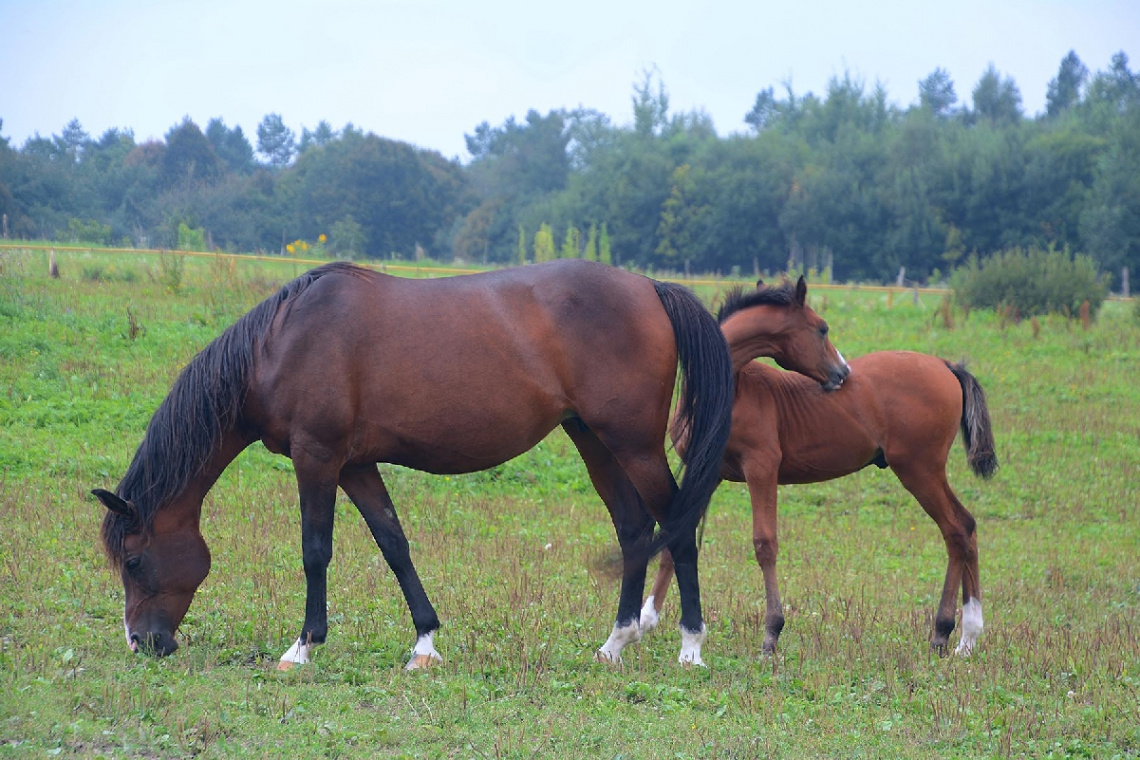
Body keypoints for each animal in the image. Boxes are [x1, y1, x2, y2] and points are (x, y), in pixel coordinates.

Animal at [95, 263, 848, 669]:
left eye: (133, 560)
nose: (143, 644)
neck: (286, 340)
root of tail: (649, 287)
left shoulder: (318, 457)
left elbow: (315, 550)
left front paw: (303, 647)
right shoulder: (356, 464)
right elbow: (394, 543)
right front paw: (425, 641)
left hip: (630, 442)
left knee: (678, 527)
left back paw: (690, 644)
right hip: (595, 442)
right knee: (637, 530)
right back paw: (614, 643)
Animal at [642, 282, 998, 656]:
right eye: (822, 328)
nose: (842, 372)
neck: (731, 389)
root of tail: (945, 365)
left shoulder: (761, 467)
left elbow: (765, 543)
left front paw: (772, 633)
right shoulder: (705, 471)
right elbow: (677, 531)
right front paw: (646, 620)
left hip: (919, 469)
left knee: (956, 529)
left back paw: (943, 631)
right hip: (923, 471)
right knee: (967, 527)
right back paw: (967, 638)